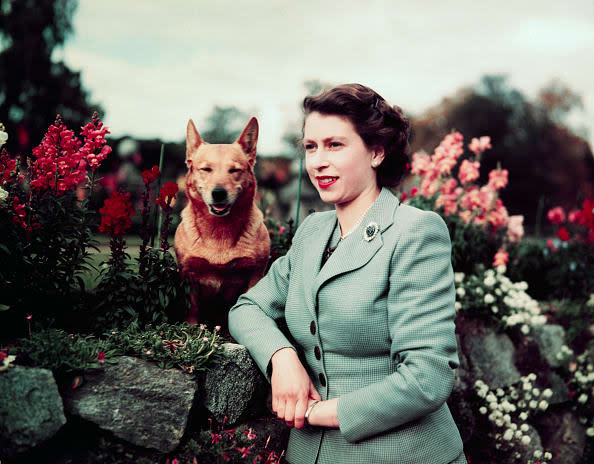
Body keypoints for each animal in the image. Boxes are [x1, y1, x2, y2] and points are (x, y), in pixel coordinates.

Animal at [173, 119, 270, 330]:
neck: (219, 230)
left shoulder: (255, 273)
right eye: (206, 169)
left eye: (234, 170)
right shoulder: (188, 273)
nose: (218, 193)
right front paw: (191, 330)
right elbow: (192, 309)